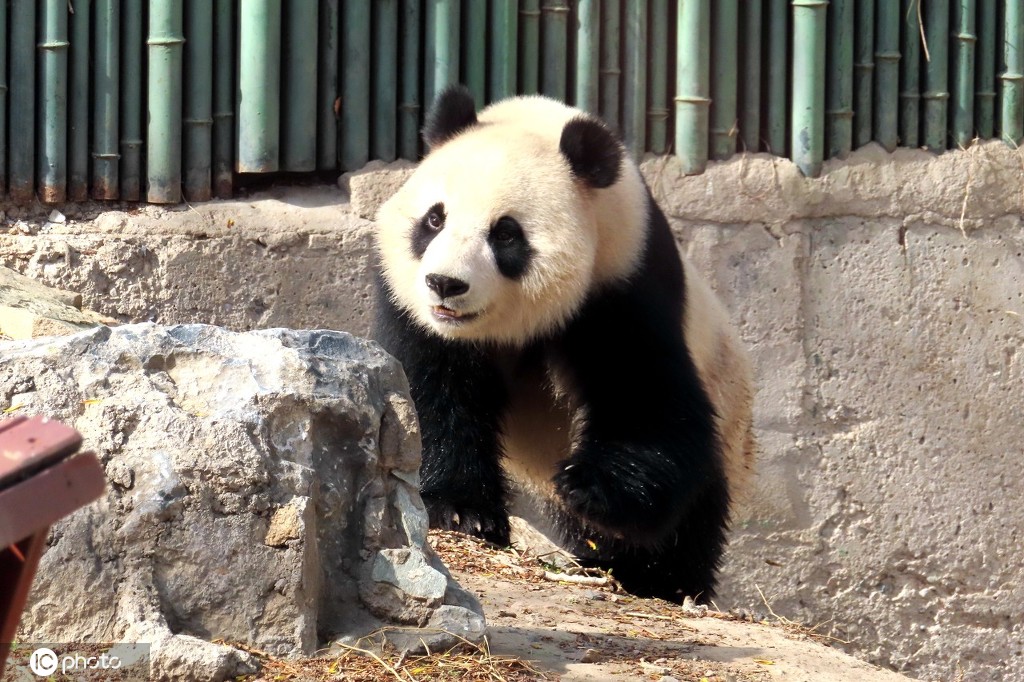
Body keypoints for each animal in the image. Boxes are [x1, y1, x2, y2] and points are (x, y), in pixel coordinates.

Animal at [372, 84, 757, 602]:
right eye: (434, 219)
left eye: (506, 233)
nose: (445, 284)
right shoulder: (410, 303)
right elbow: (425, 389)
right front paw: (461, 511)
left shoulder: (625, 282)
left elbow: (649, 402)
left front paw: (588, 490)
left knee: (693, 511)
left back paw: (654, 577)